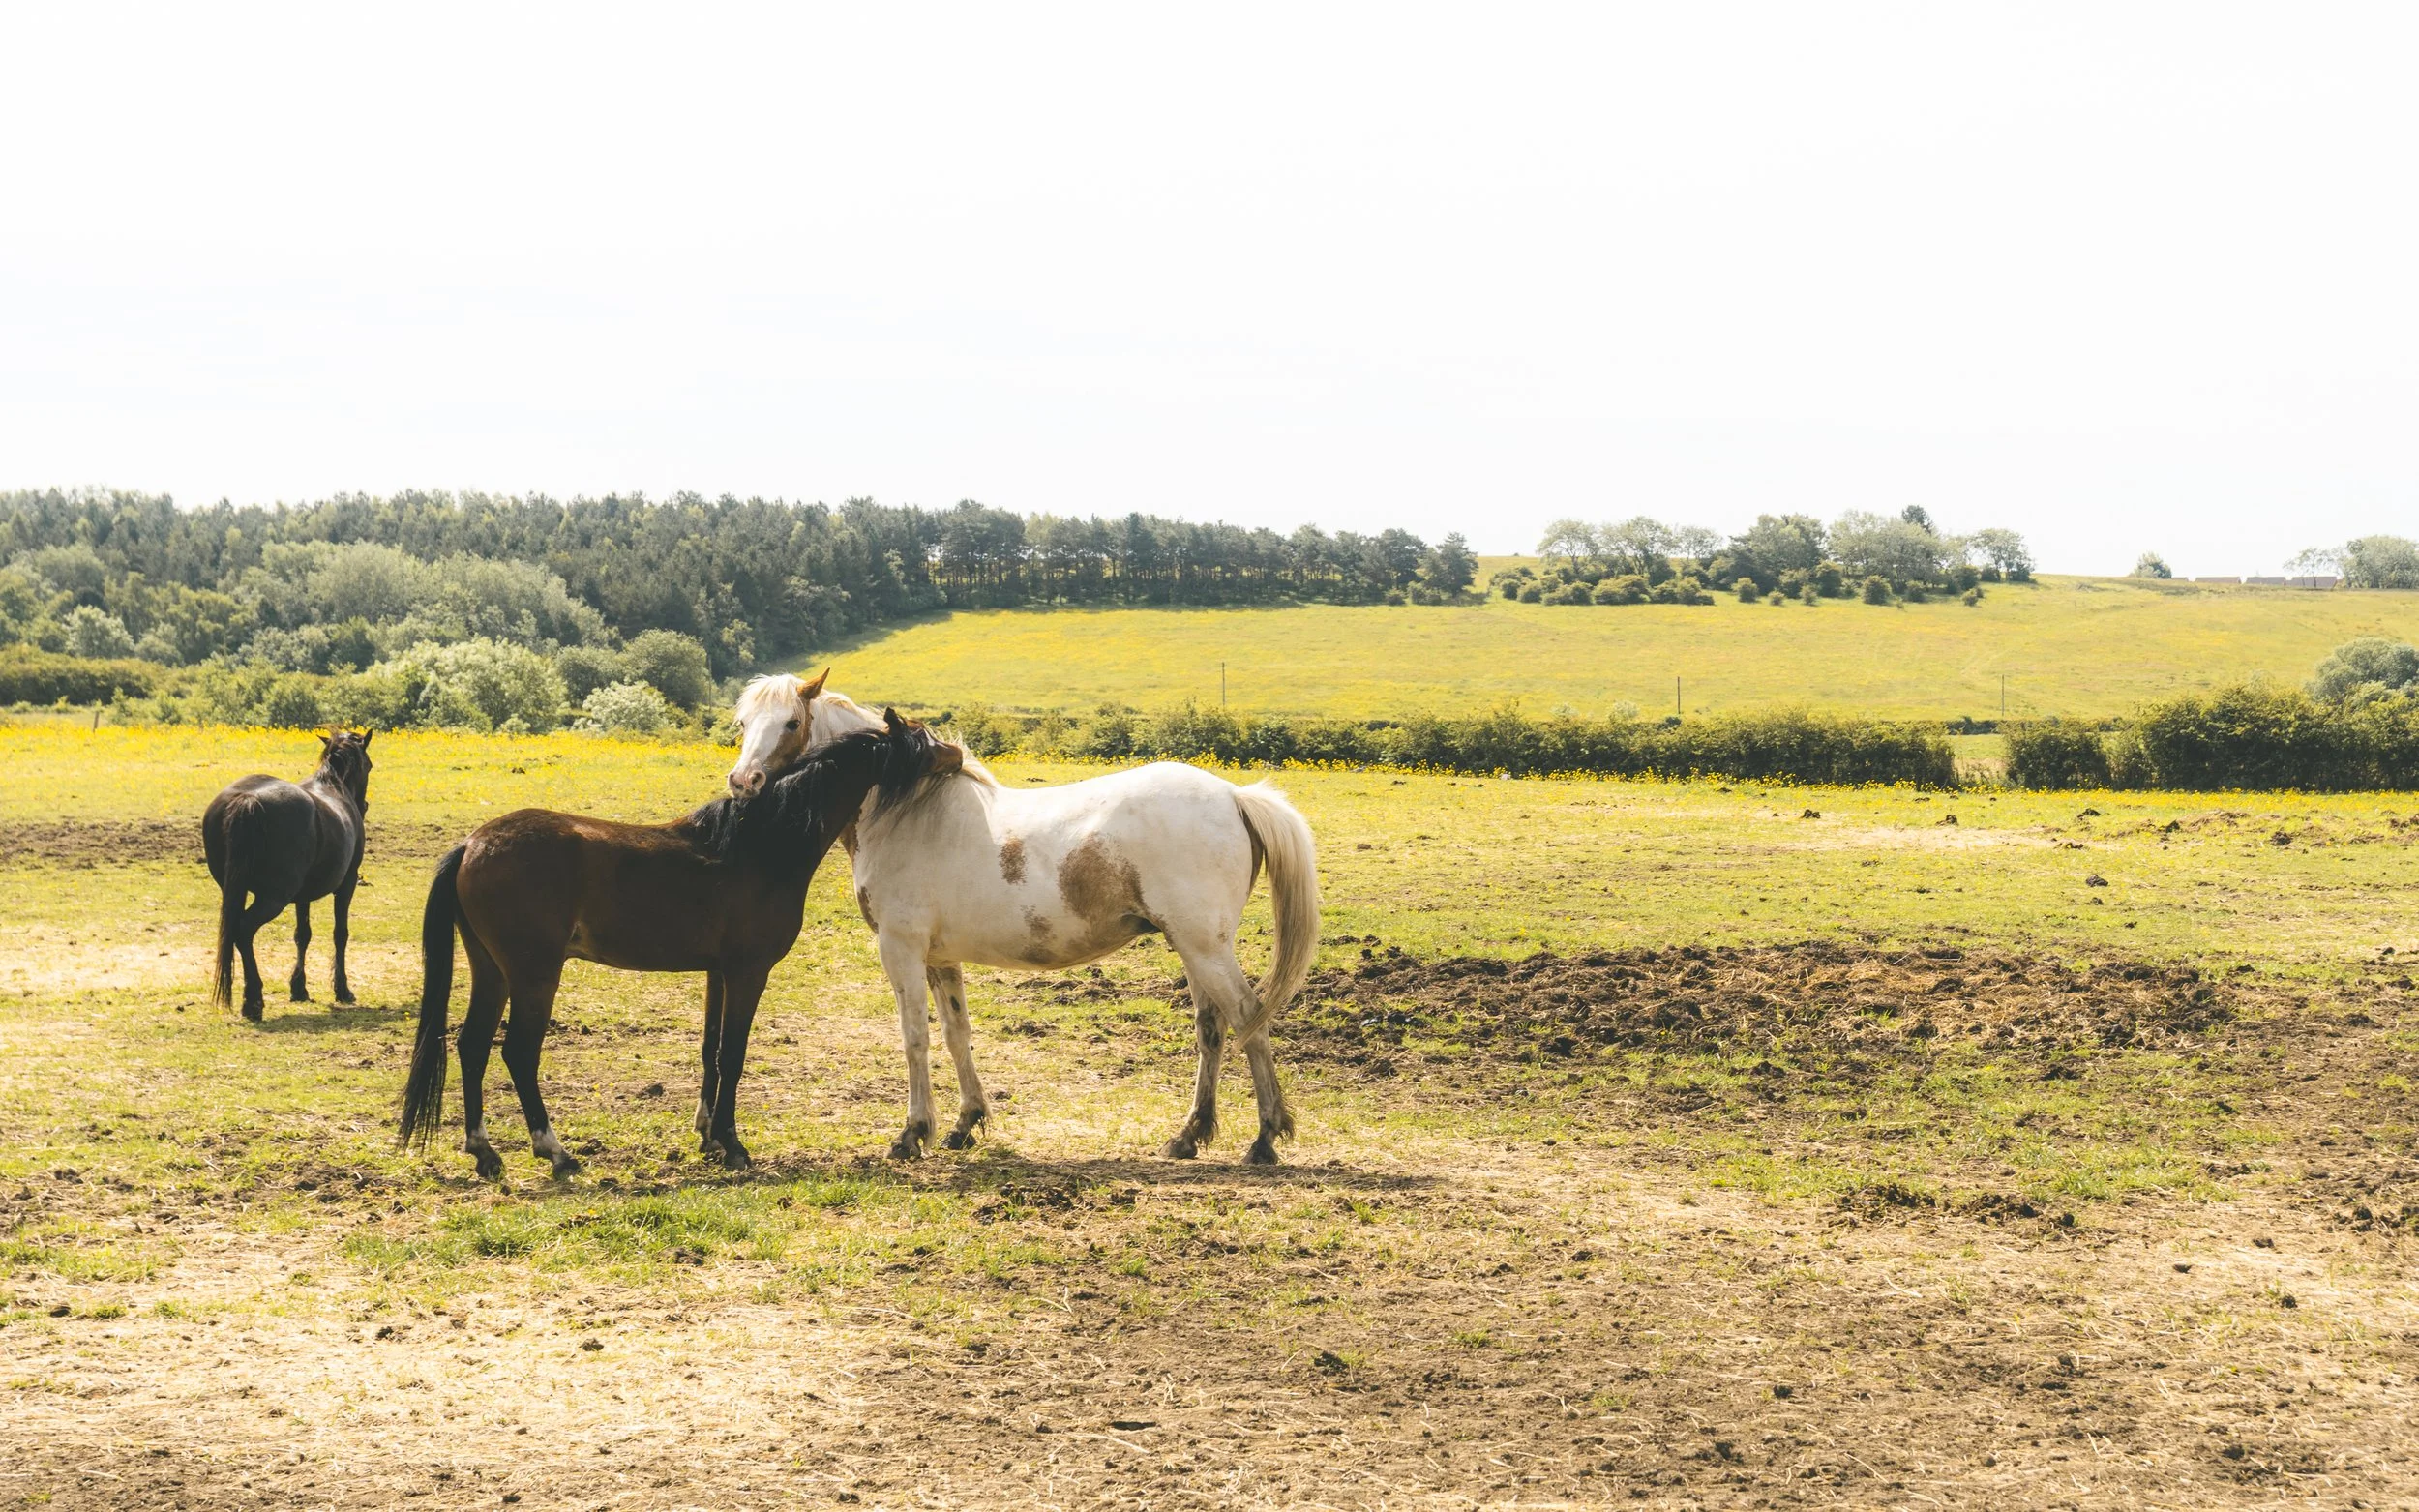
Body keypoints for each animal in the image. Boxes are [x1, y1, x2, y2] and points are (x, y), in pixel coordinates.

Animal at [203, 730, 374, 1021]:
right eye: (369, 766)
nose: (363, 805)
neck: (333, 786)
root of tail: (248, 800)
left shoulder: (302, 895)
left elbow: (302, 934)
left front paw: (299, 988)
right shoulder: (348, 883)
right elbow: (340, 934)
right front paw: (342, 989)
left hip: (235, 890)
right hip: (273, 898)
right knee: (244, 929)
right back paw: (253, 1001)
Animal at [396, 710, 960, 1180]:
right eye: (920, 741)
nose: (956, 755)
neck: (760, 847)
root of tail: (473, 843)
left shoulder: (717, 973)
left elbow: (711, 1050)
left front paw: (709, 1138)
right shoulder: (748, 972)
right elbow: (733, 1053)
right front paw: (733, 1146)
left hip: (492, 970)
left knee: (471, 1045)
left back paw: (485, 1153)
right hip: (534, 974)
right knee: (517, 1051)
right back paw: (555, 1152)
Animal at [726, 673, 1321, 1165]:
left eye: (791, 722)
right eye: (743, 722)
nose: (743, 781)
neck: (907, 808)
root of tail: (1235, 796)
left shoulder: (900, 948)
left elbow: (914, 1036)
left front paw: (913, 1133)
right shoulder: (939, 958)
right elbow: (956, 1033)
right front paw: (966, 1124)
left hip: (1204, 947)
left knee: (1248, 1018)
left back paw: (1265, 1138)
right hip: (1195, 949)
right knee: (1212, 1029)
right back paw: (1189, 1136)